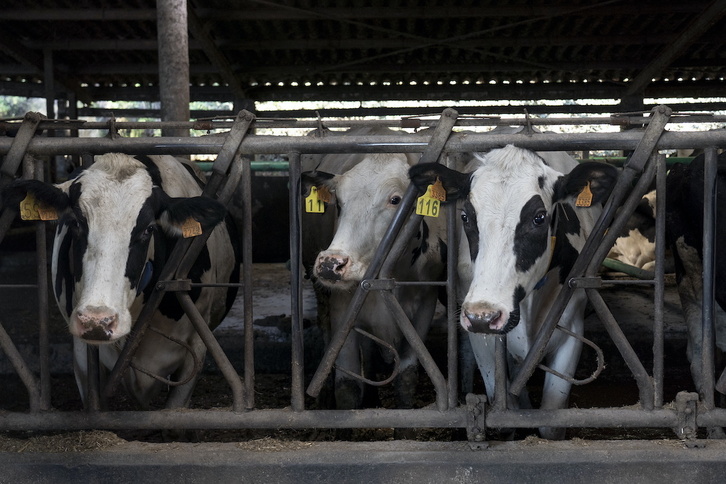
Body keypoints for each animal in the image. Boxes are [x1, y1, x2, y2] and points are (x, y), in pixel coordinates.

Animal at [301, 126, 447, 412]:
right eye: (339, 202)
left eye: (395, 199)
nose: (330, 264)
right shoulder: (342, 310)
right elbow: (346, 386)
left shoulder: (423, 309)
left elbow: (406, 378)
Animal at [410, 145, 617, 439]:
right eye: (466, 217)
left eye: (539, 218)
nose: (483, 315)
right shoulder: (482, 337)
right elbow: (505, 410)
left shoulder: (572, 330)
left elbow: (550, 420)